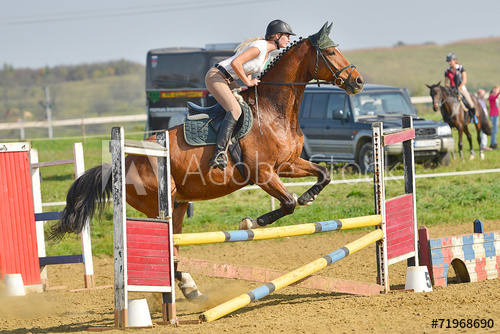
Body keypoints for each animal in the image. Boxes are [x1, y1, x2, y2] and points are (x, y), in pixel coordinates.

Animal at [49, 22, 364, 300]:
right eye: (332, 52)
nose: (358, 81)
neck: (273, 110)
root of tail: (121, 164)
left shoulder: (287, 165)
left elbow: (323, 174)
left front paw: (309, 197)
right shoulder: (262, 173)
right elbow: (287, 203)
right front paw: (251, 222)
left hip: (178, 204)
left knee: (174, 247)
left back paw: (190, 288)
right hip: (160, 203)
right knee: (165, 246)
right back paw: (183, 289)